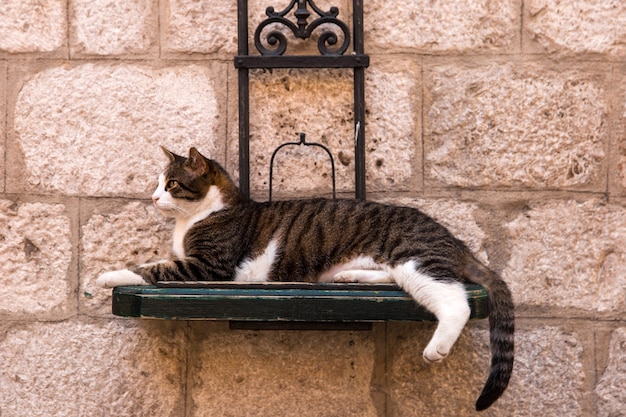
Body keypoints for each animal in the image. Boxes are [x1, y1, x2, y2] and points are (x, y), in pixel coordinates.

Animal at [97, 146, 516, 410]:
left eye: (170, 185)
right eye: (157, 184)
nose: (152, 198)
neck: (197, 217)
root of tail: (453, 239)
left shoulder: (209, 267)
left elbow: (154, 267)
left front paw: (108, 274)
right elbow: (159, 260)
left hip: (416, 260)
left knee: (454, 301)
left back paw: (436, 348)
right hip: (399, 269)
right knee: (395, 280)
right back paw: (350, 277)